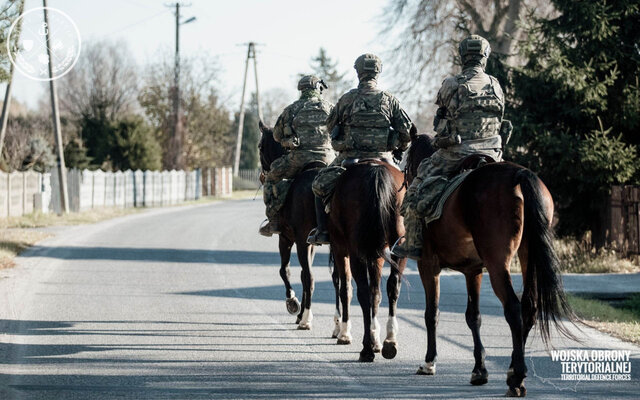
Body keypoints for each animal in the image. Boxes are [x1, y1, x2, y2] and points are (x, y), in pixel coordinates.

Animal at [258, 122, 342, 334]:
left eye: (260, 146)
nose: (263, 174)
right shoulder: (310, 244)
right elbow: (303, 276)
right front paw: (301, 310)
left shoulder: (287, 239)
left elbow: (286, 271)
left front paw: (294, 304)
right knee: (337, 277)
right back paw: (338, 324)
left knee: (310, 277)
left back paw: (306, 320)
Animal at [328, 157, 408, 362]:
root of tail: (375, 170)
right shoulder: (377, 255)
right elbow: (376, 294)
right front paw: (376, 339)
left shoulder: (340, 249)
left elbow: (345, 289)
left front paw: (345, 333)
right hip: (400, 244)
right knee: (392, 286)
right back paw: (390, 341)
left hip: (355, 252)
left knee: (362, 292)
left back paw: (366, 350)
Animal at [408, 132, 576, 396]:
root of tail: (519, 175)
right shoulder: (473, 271)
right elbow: (473, 316)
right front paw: (479, 369)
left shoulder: (428, 266)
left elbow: (431, 313)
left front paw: (429, 361)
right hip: (528, 254)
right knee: (529, 306)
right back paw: (512, 370)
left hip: (498, 262)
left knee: (513, 307)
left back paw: (517, 377)